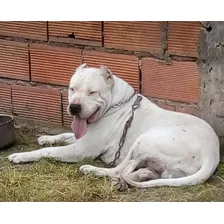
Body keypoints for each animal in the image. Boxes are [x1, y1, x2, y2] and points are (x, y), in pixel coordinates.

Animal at [7, 64, 220, 190]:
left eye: (92, 92)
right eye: (72, 89)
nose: (74, 107)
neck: (116, 102)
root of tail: (212, 153)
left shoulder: (81, 149)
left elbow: (48, 152)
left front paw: (21, 155)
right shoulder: (82, 136)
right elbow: (64, 135)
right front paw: (46, 138)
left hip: (145, 139)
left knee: (120, 169)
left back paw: (93, 170)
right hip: (167, 166)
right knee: (141, 172)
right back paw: (132, 178)